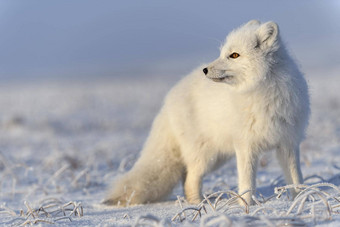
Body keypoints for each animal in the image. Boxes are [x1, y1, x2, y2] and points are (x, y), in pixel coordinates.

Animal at [105, 20, 310, 206]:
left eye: (234, 55)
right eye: (222, 53)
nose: (205, 70)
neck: (262, 92)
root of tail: (169, 98)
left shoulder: (288, 144)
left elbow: (296, 178)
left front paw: (301, 201)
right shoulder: (245, 146)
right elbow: (247, 183)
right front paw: (245, 207)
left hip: (218, 156)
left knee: (185, 177)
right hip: (205, 156)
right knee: (190, 180)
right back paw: (199, 205)